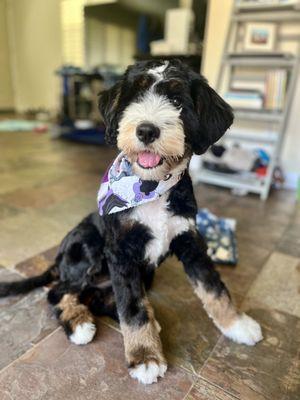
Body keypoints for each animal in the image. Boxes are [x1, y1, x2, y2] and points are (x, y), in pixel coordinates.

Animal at [0, 59, 262, 384]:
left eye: (177, 101)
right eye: (133, 99)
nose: (147, 130)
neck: (150, 188)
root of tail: (58, 262)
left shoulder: (190, 242)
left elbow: (214, 288)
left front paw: (238, 325)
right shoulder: (121, 253)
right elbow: (132, 308)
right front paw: (145, 357)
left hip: (141, 274)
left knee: (100, 298)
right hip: (87, 243)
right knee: (59, 292)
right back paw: (79, 324)